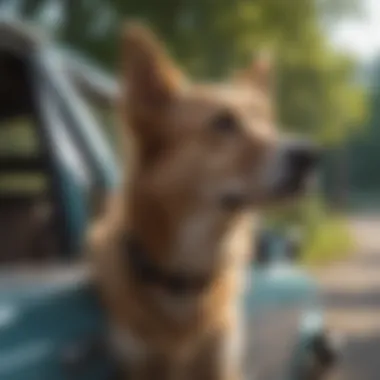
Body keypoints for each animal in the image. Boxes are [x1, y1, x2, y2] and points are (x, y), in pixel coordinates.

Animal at [88, 23, 318, 380]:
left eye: (268, 123)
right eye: (223, 122)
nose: (310, 156)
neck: (184, 277)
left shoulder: (220, 360)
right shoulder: (139, 362)